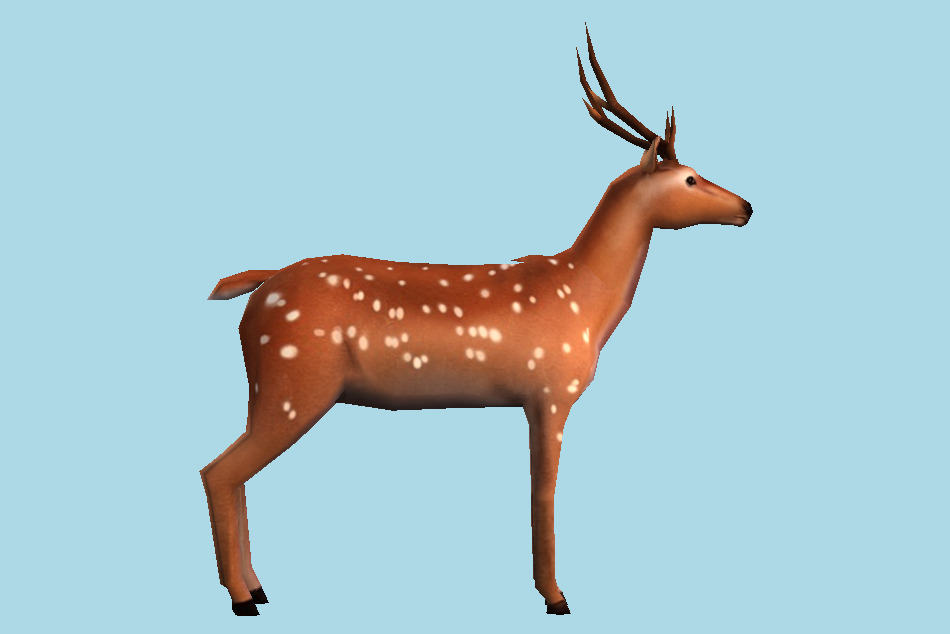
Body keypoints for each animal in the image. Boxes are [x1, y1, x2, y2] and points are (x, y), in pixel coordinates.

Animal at [200, 26, 753, 617]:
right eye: (690, 178)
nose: (746, 206)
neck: (585, 298)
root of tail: (261, 286)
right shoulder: (549, 389)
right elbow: (543, 492)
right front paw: (556, 597)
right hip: (296, 383)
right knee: (219, 472)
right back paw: (242, 598)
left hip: (271, 389)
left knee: (232, 475)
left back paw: (259, 588)